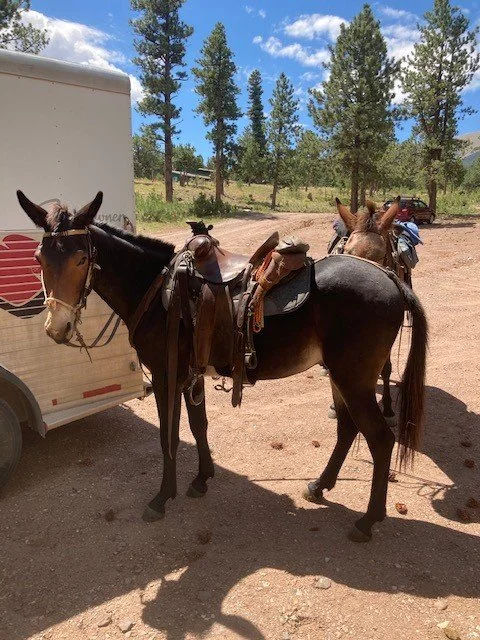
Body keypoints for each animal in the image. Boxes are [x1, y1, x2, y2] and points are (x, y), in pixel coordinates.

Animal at [16, 190, 428, 543]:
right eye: (38, 259)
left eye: (82, 259)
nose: (56, 327)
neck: (157, 289)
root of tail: (390, 279)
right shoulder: (189, 374)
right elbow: (199, 426)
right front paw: (202, 479)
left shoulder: (166, 375)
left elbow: (169, 436)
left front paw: (162, 498)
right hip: (341, 378)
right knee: (346, 429)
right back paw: (319, 486)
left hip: (353, 379)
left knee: (380, 439)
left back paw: (367, 521)